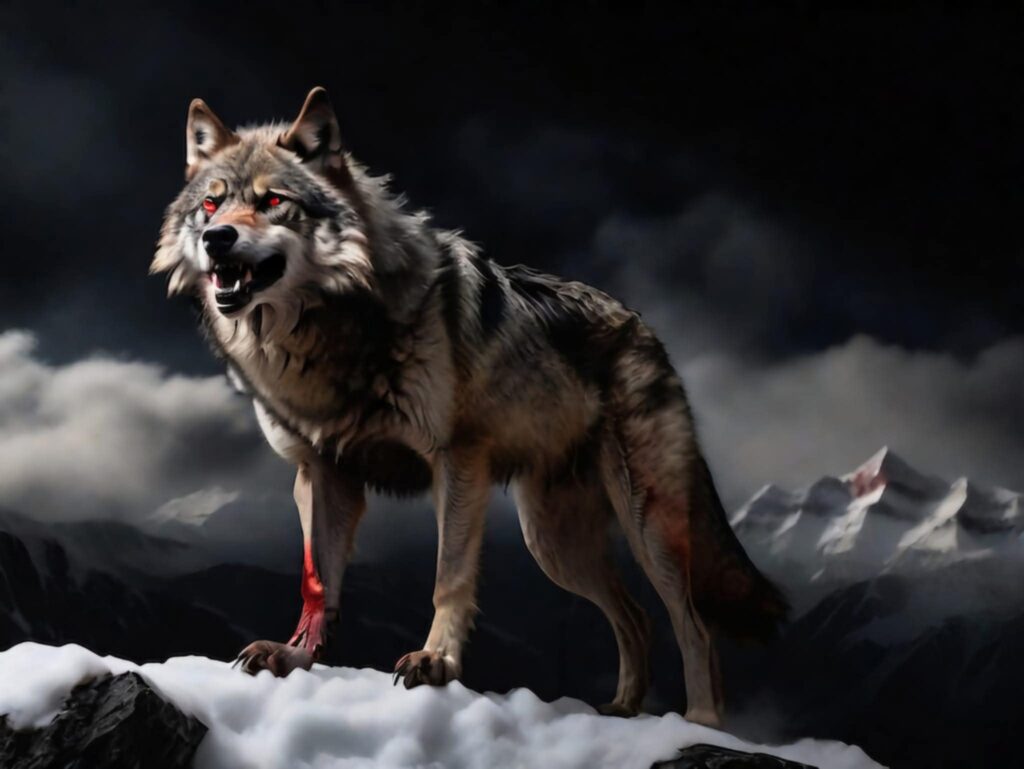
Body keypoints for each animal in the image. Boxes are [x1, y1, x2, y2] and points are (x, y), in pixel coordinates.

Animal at [152, 87, 786, 726]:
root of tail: (645, 328)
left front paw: (437, 662)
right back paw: (621, 709)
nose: (216, 239)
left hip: (644, 525)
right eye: (212, 205)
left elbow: (448, 577)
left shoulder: (456, 461)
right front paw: (295, 656)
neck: (327, 335)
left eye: (273, 201)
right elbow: (317, 581)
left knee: (691, 622)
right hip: (553, 545)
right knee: (634, 617)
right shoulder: (321, 473)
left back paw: (701, 720)